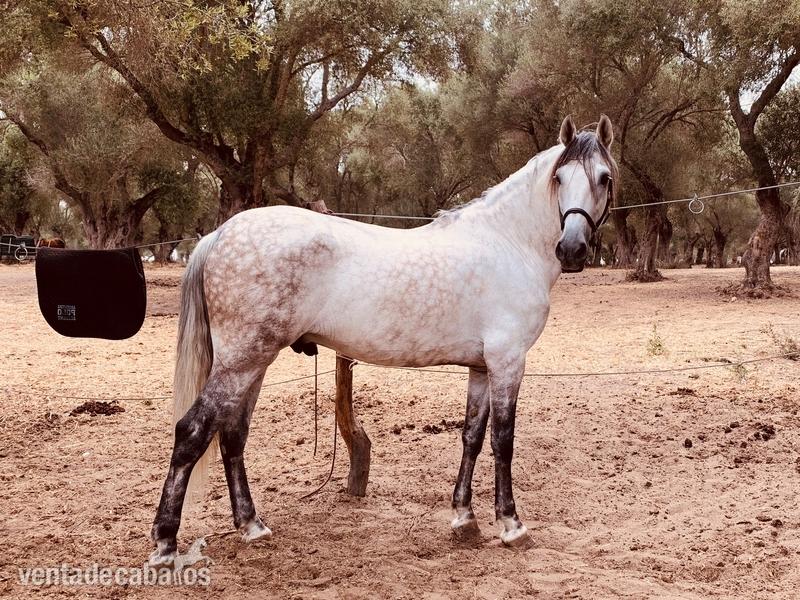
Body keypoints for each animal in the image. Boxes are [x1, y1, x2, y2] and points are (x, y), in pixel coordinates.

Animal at [149, 115, 618, 564]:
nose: (572, 249)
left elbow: (471, 436)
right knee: (192, 432)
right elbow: (503, 441)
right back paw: (165, 544)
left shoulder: (482, 368)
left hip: (253, 363)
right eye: (559, 178)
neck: (509, 243)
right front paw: (512, 525)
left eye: (603, 177)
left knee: (232, 436)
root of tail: (219, 235)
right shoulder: (508, 362)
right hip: (241, 361)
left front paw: (464, 519)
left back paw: (251, 526)